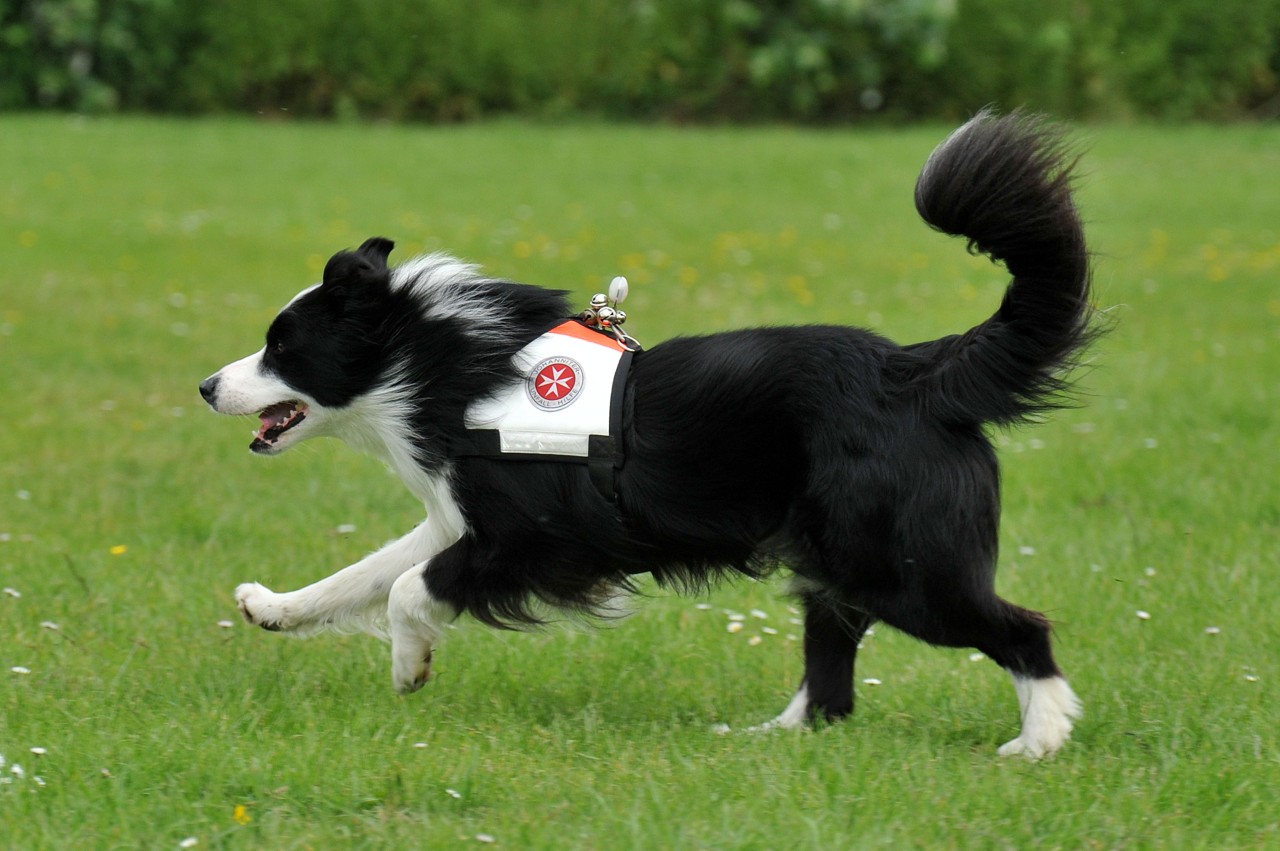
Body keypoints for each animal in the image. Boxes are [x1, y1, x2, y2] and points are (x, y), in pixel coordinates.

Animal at [199, 109, 1090, 752]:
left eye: (282, 346)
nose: (207, 386)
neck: (437, 362)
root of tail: (921, 371)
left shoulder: (539, 537)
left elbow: (408, 587)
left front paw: (410, 663)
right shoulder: (465, 517)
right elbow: (366, 571)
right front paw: (273, 607)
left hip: (900, 563)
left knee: (1021, 627)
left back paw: (1040, 739)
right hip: (842, 558)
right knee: (832, 682)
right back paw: (769, 737)